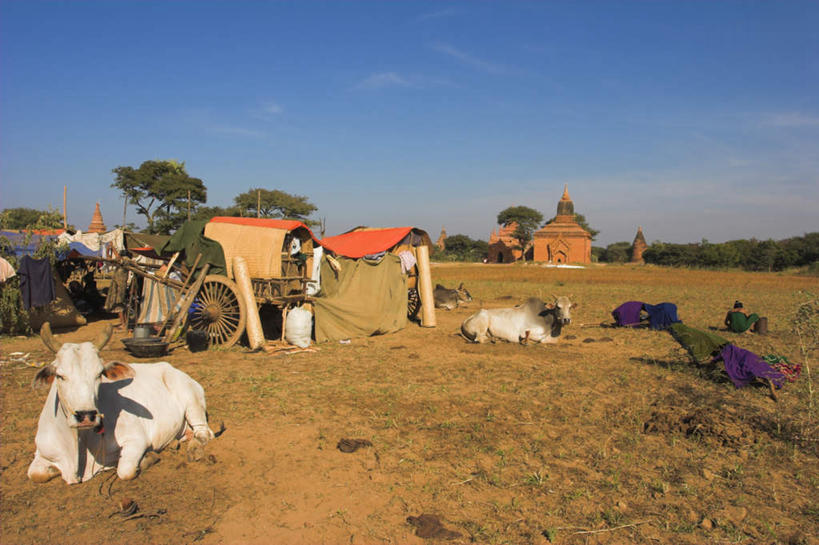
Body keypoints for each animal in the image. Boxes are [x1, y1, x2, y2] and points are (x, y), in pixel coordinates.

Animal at [29, 320, 215, 482]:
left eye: (99, 374)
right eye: (60, 375)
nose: (86, 416)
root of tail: (171, 368)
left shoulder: (136, 440)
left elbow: (125, 471)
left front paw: (148, 457)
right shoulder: (41, 453)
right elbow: (35, 474)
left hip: (192, 401)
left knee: (203, 433)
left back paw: (194, 447)